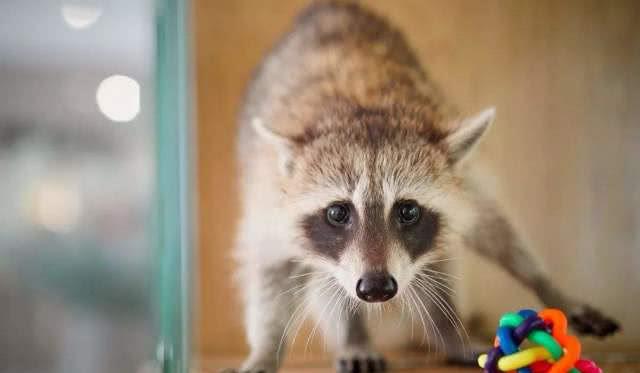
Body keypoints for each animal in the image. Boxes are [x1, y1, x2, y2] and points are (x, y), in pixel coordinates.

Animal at [228, 1, 616, 370]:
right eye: (337, 212)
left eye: (408, 211)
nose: (376, 288)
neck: (359, 109)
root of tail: (327, 8)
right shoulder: (270, 196)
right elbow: (272, 271)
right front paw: (266, 348)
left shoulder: (462, 179)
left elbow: (495, 229)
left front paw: (545, 285)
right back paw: (355, 337)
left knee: (439, 264)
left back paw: (449, 331)